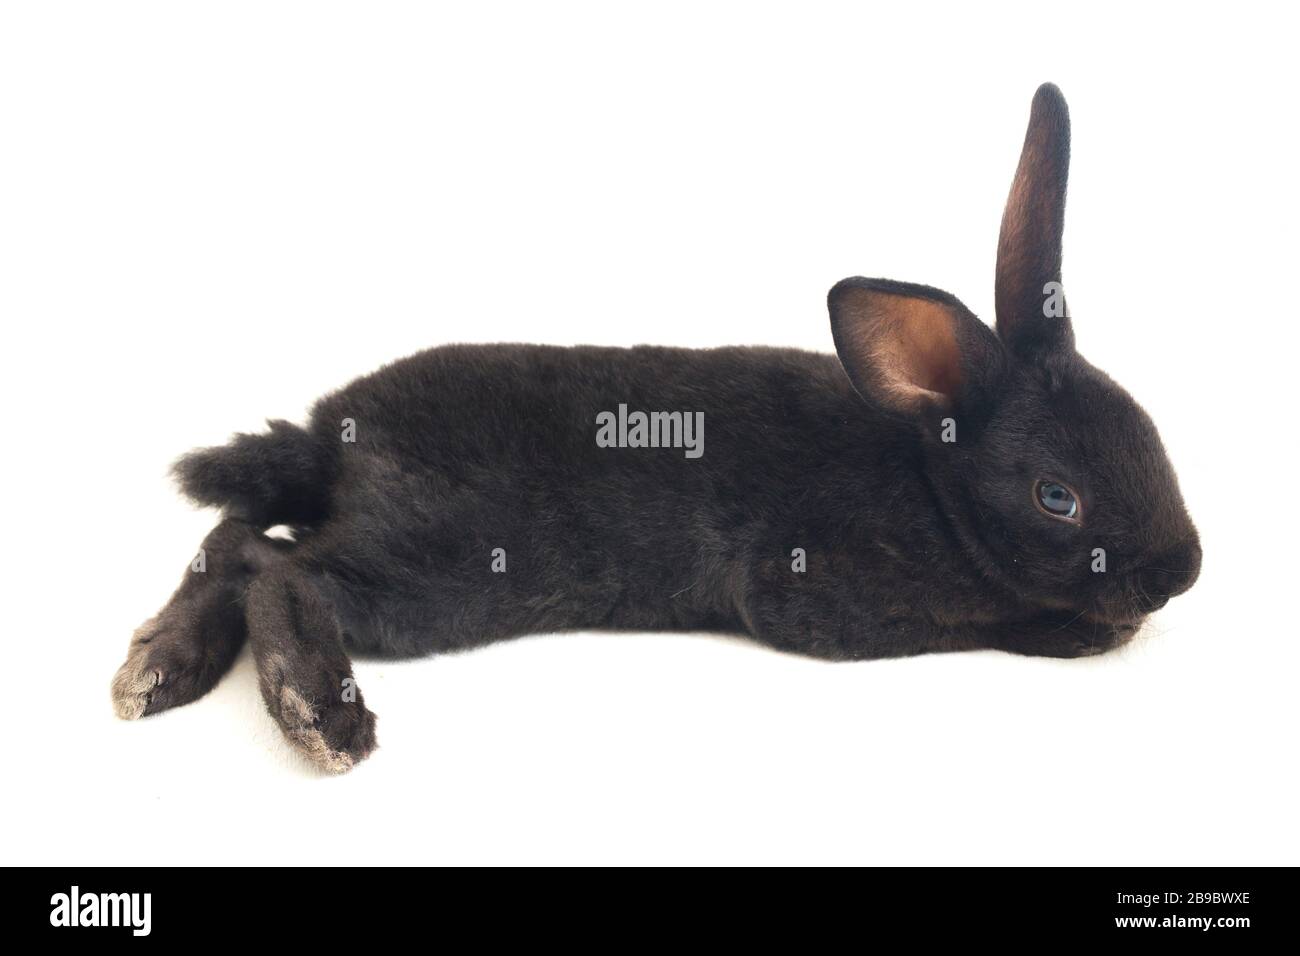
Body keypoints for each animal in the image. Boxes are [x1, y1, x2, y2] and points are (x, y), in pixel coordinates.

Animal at [112, 84, 1201, 772]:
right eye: (1056, 496)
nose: (1183, 571)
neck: (932, 483)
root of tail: (325, 436)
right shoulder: (809, 587)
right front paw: (1082, 626)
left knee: (234, 540)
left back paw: (155, 670)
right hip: (439, 568)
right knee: (280, 566)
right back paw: (317, 717)